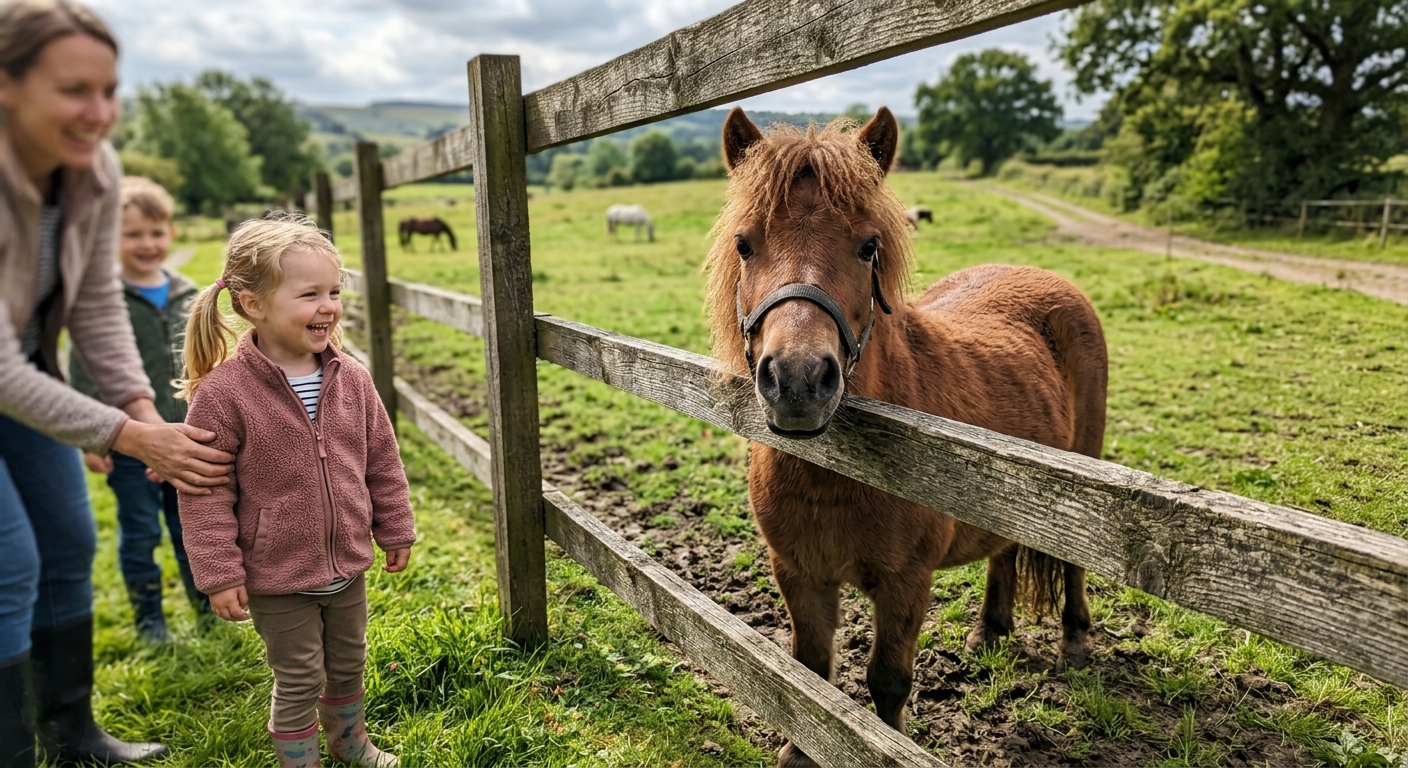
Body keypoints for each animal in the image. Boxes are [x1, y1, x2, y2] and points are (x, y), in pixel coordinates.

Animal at [705, 107, 1107, 767]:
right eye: (744, 243)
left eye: (868, 245)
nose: (797, 380)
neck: (835, 477)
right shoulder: (799, 572)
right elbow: (809, 670)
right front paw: (799, 748)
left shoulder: (905, 584)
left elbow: (888, 680)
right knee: (1003, 549)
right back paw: (991, 629)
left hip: (1084, 468)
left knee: (1073, 564)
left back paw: (1074, 639)